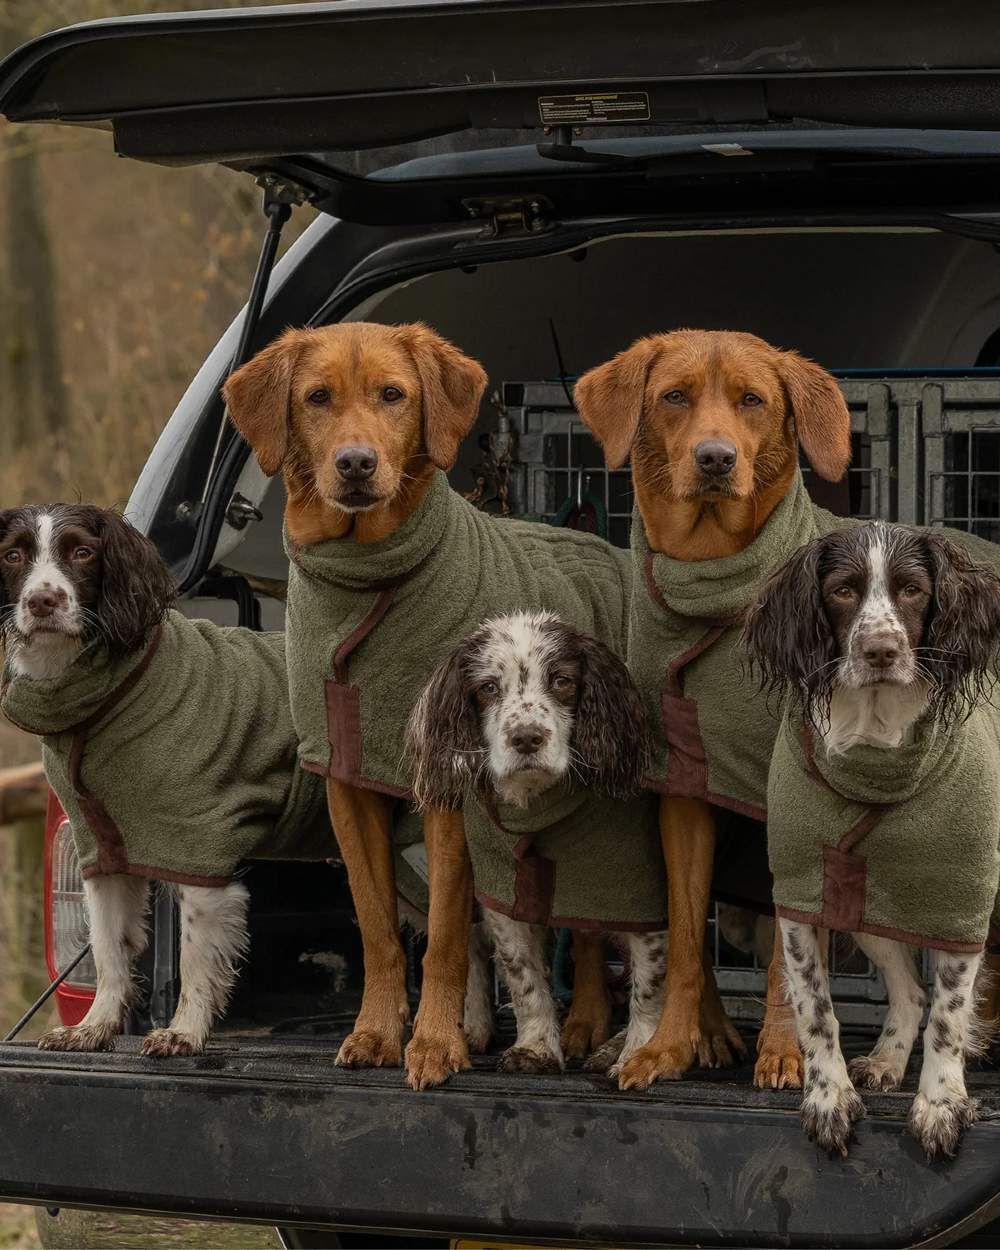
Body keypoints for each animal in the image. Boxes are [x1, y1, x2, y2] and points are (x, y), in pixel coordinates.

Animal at [402, 610, 670, 1080]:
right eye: (488, 688)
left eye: (562, 680)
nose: (526, 738)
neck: (543, 810)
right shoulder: (503, 896)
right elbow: (524, 977)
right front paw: (536, 1047)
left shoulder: (641, 896)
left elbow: (649, 986)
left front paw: (638, 1054)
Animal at [575, 330, 850, 1095]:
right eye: (674, 396)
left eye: (753, 401)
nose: (716, 458)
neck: (715, 578)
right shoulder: (685, 790)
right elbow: (686, 939)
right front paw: (666, 1047)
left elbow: (790, 954)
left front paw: (787, 1052)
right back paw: (712, 1035)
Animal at [740, 522, 1000, 1155]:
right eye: (842, 591)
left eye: (912, 590)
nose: (880, 651)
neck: (878, 751)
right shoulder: (807, 888)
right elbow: (815, 1009)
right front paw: (828, 1097)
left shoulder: (964, 892)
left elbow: (950, 1013)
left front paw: (941, 1102)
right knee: (909, 991)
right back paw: (885, 1061)